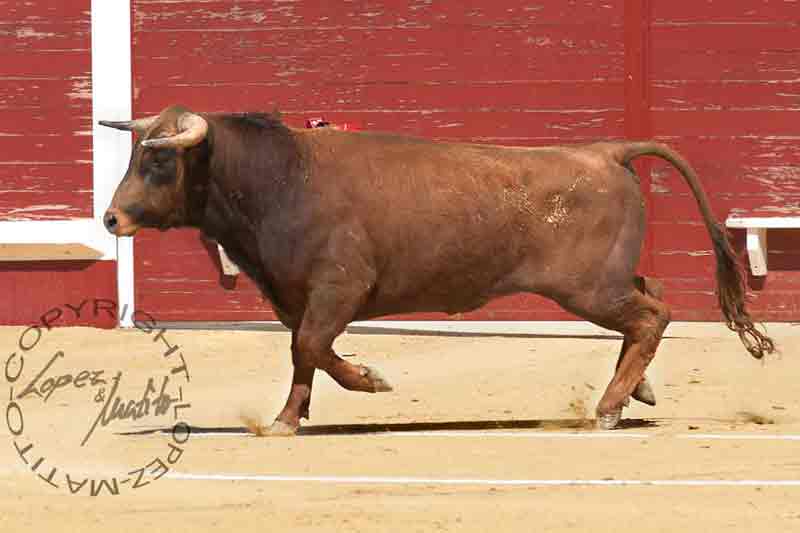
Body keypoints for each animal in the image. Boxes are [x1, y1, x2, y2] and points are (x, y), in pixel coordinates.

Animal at [100, 104, 776, 432]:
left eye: (158, 162)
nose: (110, 218)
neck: (283, 180)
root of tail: (606, 151)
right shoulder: (296, 296)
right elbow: (302, 352)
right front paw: (289, 419)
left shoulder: (339, 289)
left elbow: (313, 346)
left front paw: (371, 381)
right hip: (606, 282)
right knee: (649, 302)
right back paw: (637, 390)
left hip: (588, 289)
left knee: (652, 314)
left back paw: (609, 407)